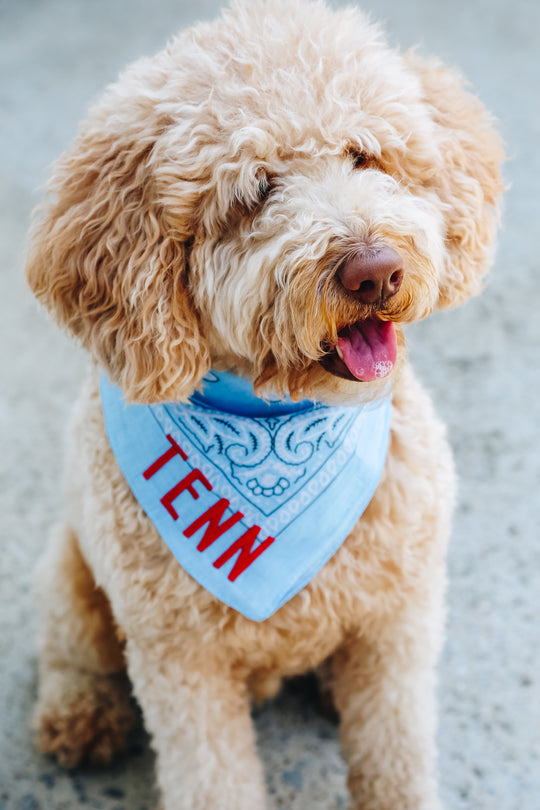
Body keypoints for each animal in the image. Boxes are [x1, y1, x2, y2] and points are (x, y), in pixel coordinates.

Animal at [27, 1, 504, 808]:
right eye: (255, 193)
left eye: (364, 156)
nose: (375, 270)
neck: (282, 422)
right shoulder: (181, 662)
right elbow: (212, 777)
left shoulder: (398, 622)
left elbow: (396, 755)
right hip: (74, 576)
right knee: (70, 652)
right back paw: (77, 715)